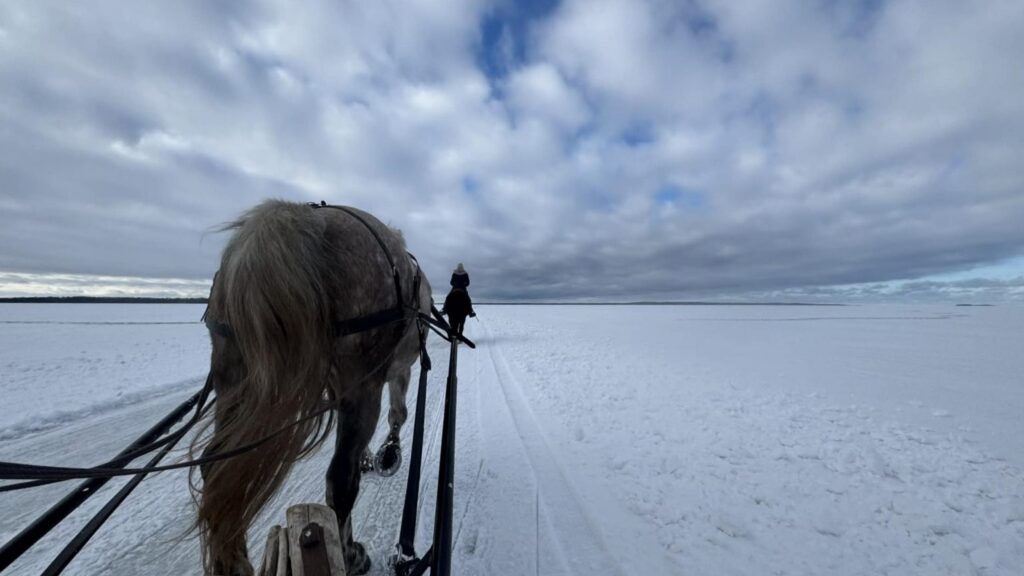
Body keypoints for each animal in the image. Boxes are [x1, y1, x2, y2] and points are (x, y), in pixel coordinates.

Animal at [194, 199, 431, 576]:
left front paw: (372, 456)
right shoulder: (394, 371)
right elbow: (399, 412)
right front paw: (388, 453)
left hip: (231, 375)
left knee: (217, 470)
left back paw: (234, 563)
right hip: (361, 378)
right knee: (341, 478)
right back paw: (350, 555)